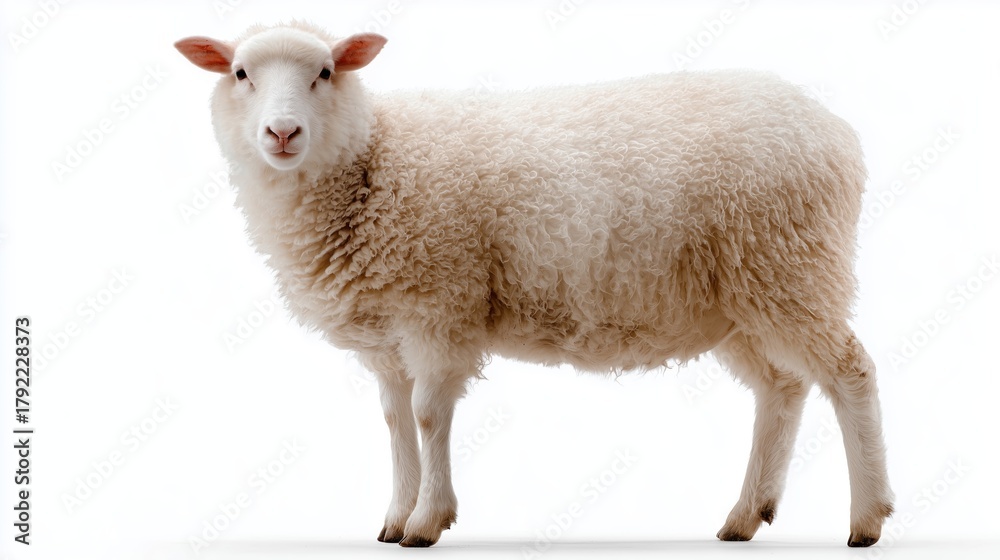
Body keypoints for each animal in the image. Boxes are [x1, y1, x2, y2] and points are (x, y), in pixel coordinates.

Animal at [175, 21, 893, 548]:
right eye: (240, 74)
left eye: (325, 72)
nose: (282, 132)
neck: (372, 158)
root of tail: (837, 131)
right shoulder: (388, 335)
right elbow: (395, 420)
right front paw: (395, 517)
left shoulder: (439, 305)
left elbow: (429, 415)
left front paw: (428, 521)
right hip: (744, 295)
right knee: (782, 387)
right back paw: (747, 514)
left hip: (792, 264)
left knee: (850, 373)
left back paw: (866, 518)